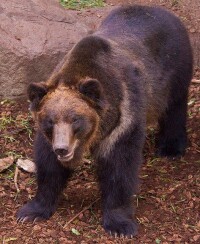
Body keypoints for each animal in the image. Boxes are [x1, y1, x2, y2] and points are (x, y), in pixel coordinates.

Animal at [16, 5, 192, 238]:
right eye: (50, 121)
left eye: (75, 119)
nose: (62, 149)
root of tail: (162, 11)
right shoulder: (48, 137)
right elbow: (49, 167)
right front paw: (31, 211)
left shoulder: (123, 119)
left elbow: (119, 168)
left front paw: (119, 225)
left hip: (175, 71)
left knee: (174, 108)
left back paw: (170, 148)